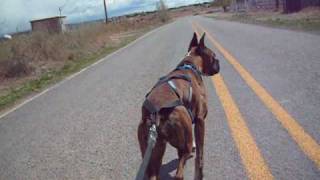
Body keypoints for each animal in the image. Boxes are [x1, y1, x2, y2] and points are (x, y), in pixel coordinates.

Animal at [138, 32, 220, 180]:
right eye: (214, 56)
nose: (219, 63)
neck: (189, 65)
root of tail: (156, 115)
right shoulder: (200, 120)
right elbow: (200, 156)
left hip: (155, 150)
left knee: (153, 174)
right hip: (183, 145)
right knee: (179, 173)